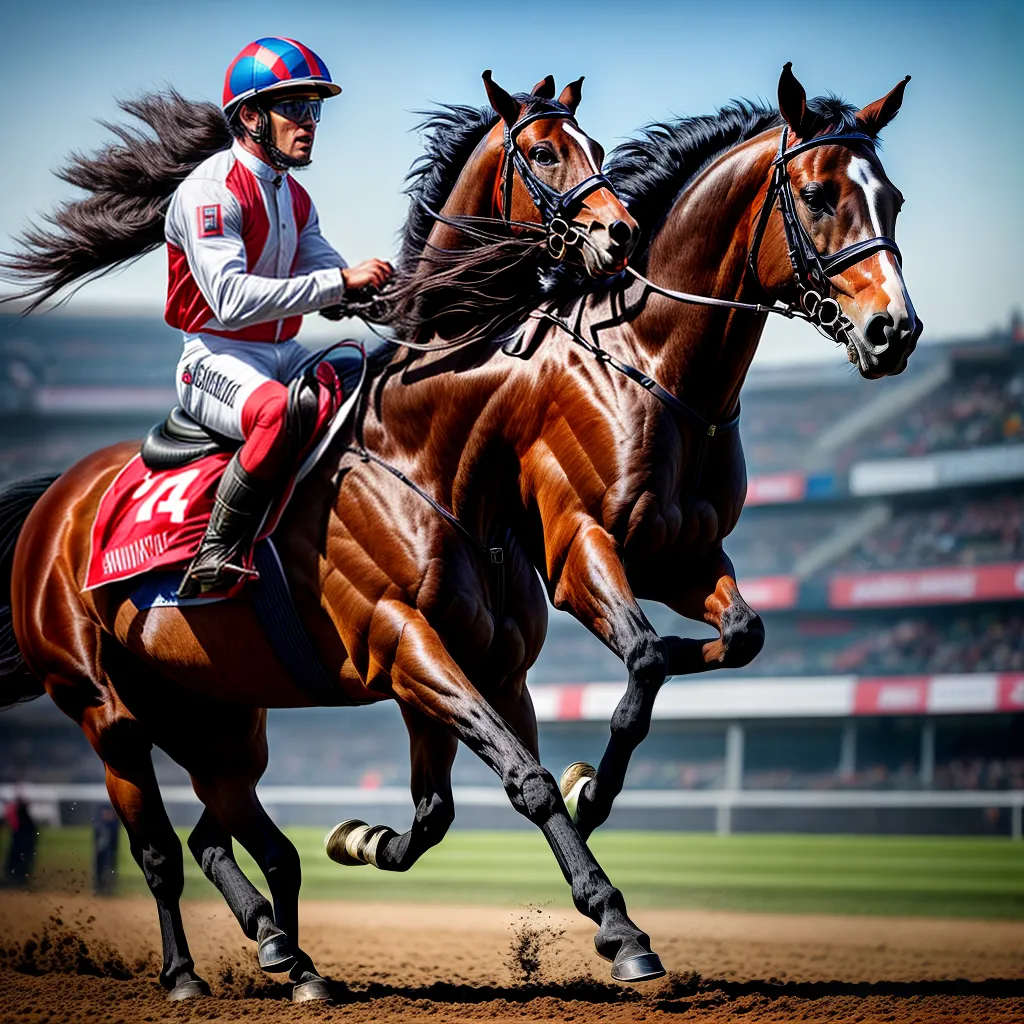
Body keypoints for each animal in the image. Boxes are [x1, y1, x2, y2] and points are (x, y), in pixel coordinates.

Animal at [0, 75, 638, 1001]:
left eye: (597, 143)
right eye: (546, 151)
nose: (620, 231)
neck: (427, 453)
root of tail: (53, 502)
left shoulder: (490, 669)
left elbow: (449, 808)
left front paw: (367, 840)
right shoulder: (407, 645)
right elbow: (525, 782)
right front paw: (622, 930)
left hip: (220, 713)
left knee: (227, 834)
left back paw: (288, 952)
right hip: (104, 708)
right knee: (158, 849)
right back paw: (187, 973)